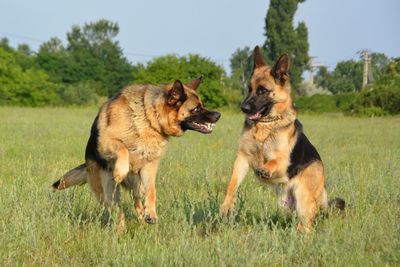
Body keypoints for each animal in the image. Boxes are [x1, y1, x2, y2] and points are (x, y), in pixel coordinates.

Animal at [51, 76, 220, 227]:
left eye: (201, 105)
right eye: (196, 108)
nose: (218, 115)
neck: (149, 119)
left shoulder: (149, 167)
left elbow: (152, 191)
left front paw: (151, 213)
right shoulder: (106, 141)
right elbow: (123, 148)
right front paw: (120, 171)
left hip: (137, 186)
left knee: (137, 203)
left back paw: (143, 219)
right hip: (108, 194)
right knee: (118, 212)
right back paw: (120, 230)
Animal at [219, 47, 344, 233]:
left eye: (262, 90)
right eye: (249, 89)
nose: (243, 108)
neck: (266, 125)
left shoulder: (282, 160)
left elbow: (273, 161)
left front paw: (265, 169)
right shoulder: (242, 158)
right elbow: (232, 184)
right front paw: (227, 205)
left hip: (303, 199)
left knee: (306, 224)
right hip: (286, 203)